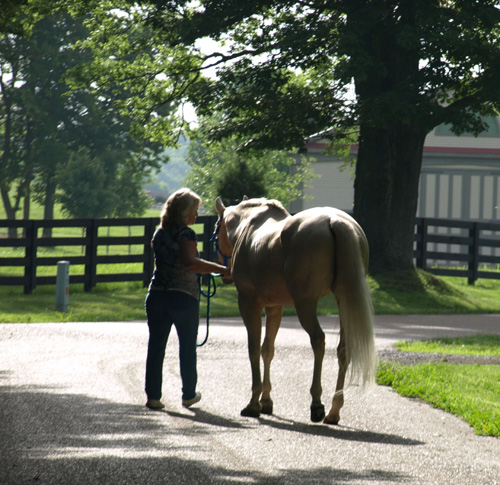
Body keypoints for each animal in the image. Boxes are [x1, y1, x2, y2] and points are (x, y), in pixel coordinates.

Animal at [214, 197, 376, 424]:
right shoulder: (275, 307)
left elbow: (253, 349)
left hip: (305, 304)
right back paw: (334, 411)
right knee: (343, 349)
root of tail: (336, 220)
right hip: (343, 300)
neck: (248, 227)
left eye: (215, 229)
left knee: (318, 340)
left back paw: (317, 404)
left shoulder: (248, 303)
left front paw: (254, 403)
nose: (224, 274)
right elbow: (267, 349)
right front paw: (266, 401)